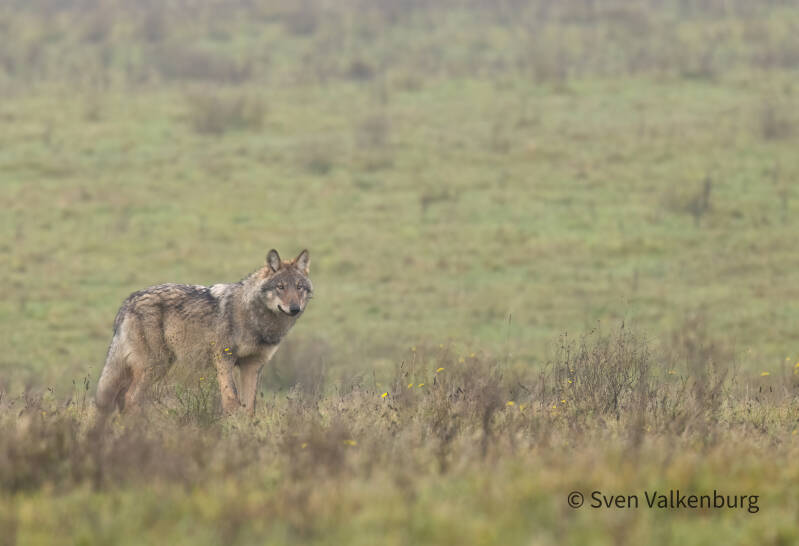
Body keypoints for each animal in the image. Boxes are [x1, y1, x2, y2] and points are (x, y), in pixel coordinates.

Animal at [95, 249, 313, 416]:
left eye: (299, 287)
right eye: (280, 287)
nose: (294, 308)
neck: (255, 318)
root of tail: (127, 303)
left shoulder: (252, 365)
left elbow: (249, 408)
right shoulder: (224, 359)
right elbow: (232, 402)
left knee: (120, 399)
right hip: (155, 365)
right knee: (129, 399)